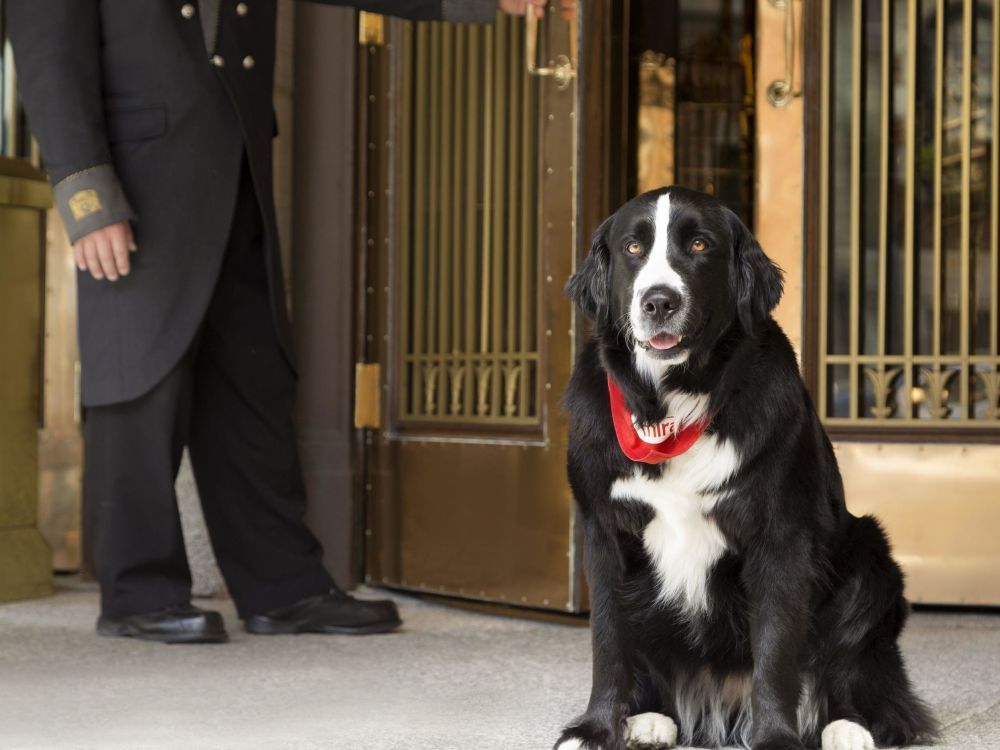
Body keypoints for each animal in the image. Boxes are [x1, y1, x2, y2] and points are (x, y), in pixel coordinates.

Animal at [560, 188, 932, 750]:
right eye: (632, 248)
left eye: (698, 244)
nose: (659, 301)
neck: (675, 404)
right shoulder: (604, 532)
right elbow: (609, 640)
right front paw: (596, 729)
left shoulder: (780, 537)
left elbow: (775, 651)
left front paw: (776, 736)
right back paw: (651, 717)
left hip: (871, 559)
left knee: (855, 672)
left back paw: (847, 727)